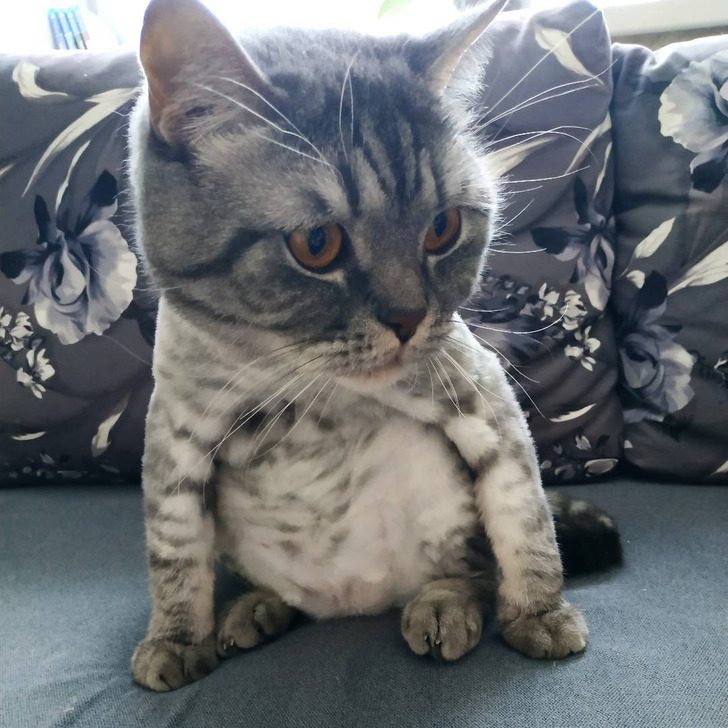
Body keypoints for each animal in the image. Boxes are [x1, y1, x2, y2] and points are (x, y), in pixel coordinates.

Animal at [128, 0, 621, 691]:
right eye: (317, 244)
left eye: (442, 228)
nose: (410, 318)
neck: (300, 388)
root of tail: (352, 604)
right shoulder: (174, 440)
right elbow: (174, 556)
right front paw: (174, 639)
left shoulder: (483, 398)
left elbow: (524, 523)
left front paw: (541, 615)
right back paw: (255, 607)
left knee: (472, 569)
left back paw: (442, 605)